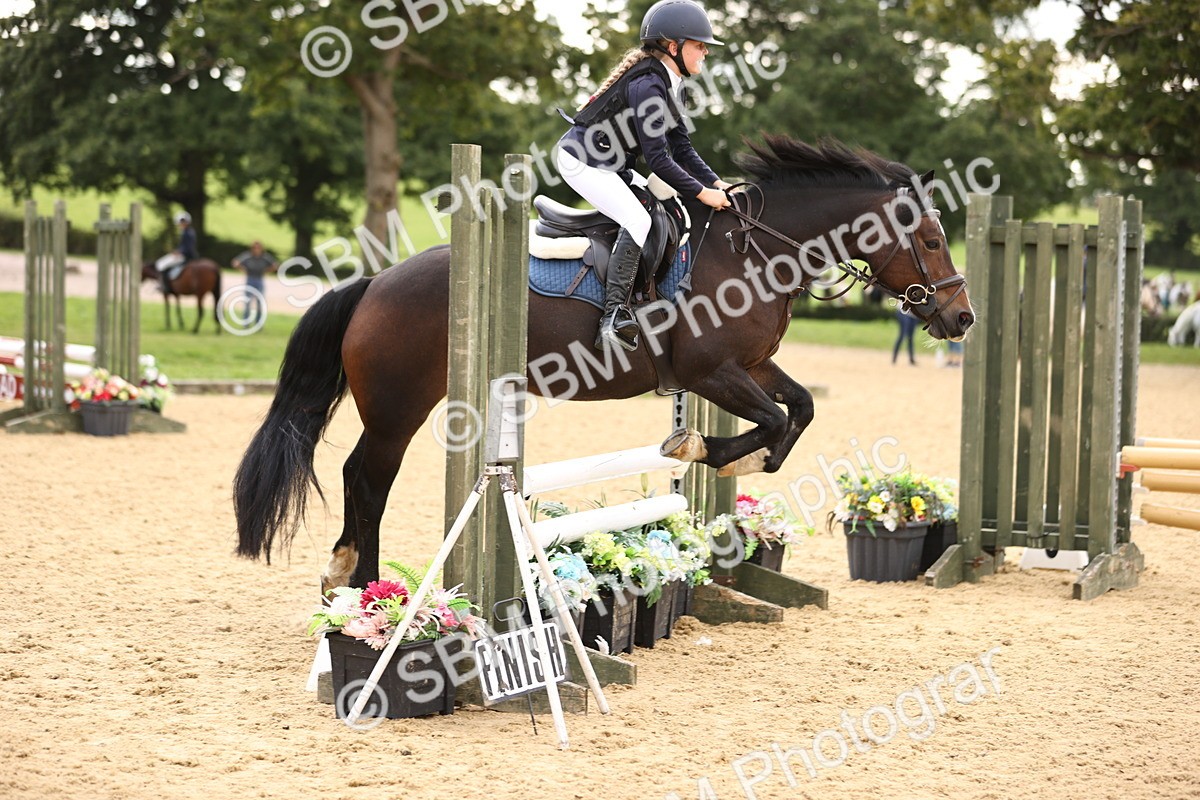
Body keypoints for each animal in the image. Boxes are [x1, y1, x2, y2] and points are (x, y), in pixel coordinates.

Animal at [233, 135, 976, 592]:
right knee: (367, 477)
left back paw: (345, 572)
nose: (962, 318)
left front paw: (732, 461)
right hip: (399, 408)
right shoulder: (711, 373)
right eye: (931, 240)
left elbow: (799, 410)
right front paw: (703, 448)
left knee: (358, 475)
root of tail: (373, 284)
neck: (757, 250)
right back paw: (363, 582)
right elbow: (769, 422)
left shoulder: (751, 365)